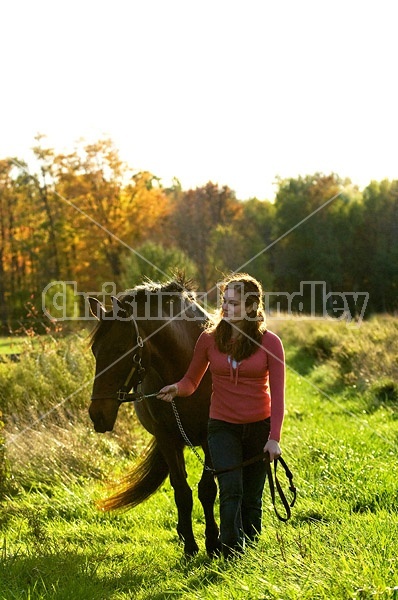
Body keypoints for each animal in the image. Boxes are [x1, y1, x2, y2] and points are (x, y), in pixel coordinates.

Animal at [87, 274, 221, 556]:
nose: (97, 414)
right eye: (95, 350)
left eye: (121, 350)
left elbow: (207, 489)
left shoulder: (209, 438)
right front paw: (190, 545)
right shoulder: (167, 439)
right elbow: (182, 491)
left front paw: (213, 541)